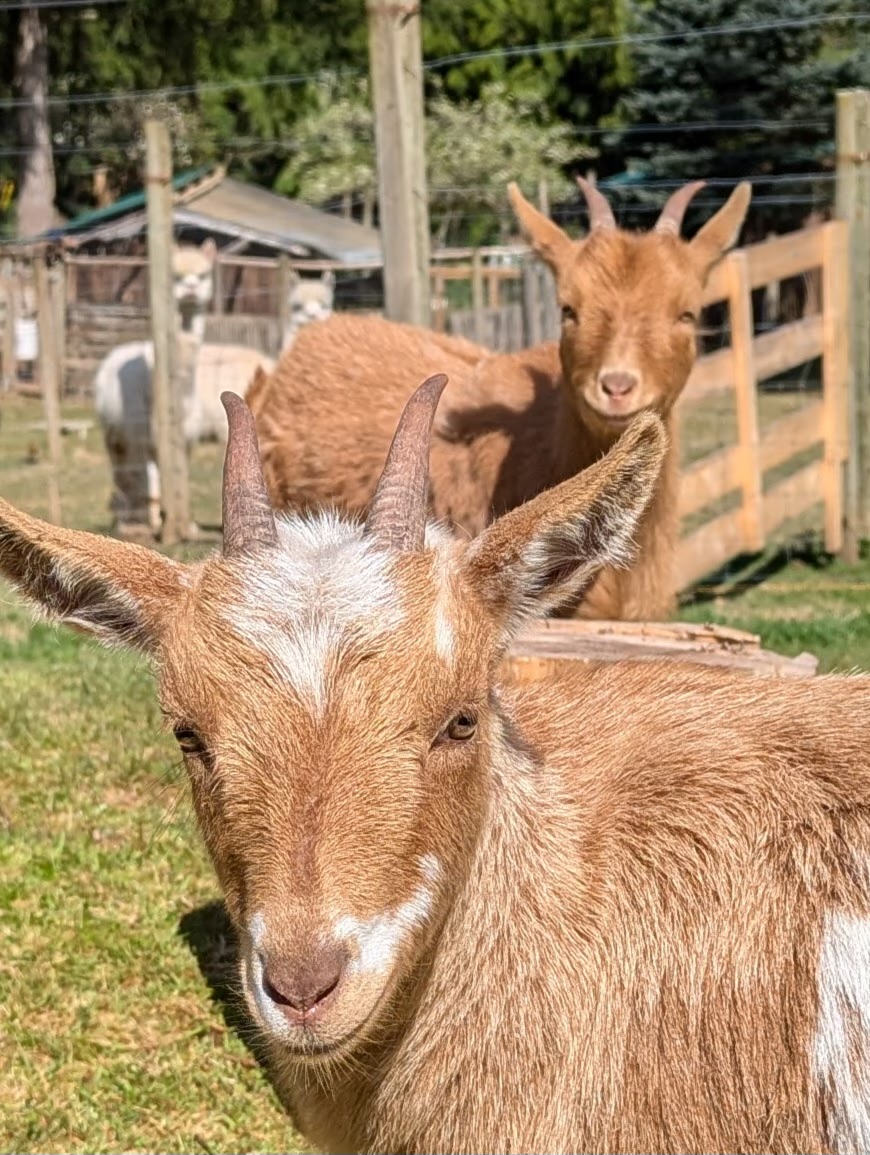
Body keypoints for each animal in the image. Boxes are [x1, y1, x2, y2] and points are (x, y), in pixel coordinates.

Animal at [94, 239, 275, 534]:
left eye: (202, 275)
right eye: (175, 276)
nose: (190, 290)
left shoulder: (187, 438)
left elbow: (181, 480)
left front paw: (187, 525)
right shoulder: (145, 438)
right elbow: (151, 479)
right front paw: (156, 524)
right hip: (117, 434)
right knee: (126, 472)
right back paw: (129, 520)